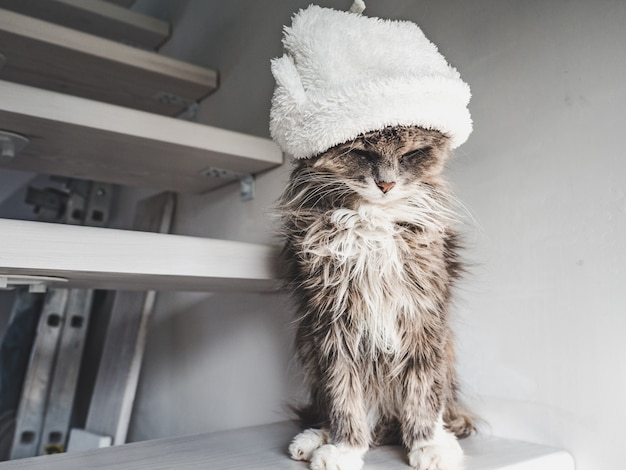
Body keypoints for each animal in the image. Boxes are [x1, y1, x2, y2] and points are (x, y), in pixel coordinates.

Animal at [276, 126, 470, 470]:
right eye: (359, 153)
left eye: (411, 154)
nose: (386, 185)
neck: (372, 221)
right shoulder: (332, 323)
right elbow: (343, 396)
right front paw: (345, 449)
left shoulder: (423, 317)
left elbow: (424, 390)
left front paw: (428, 446)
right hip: (308, 349)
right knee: (326, 410)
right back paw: (313, 440)